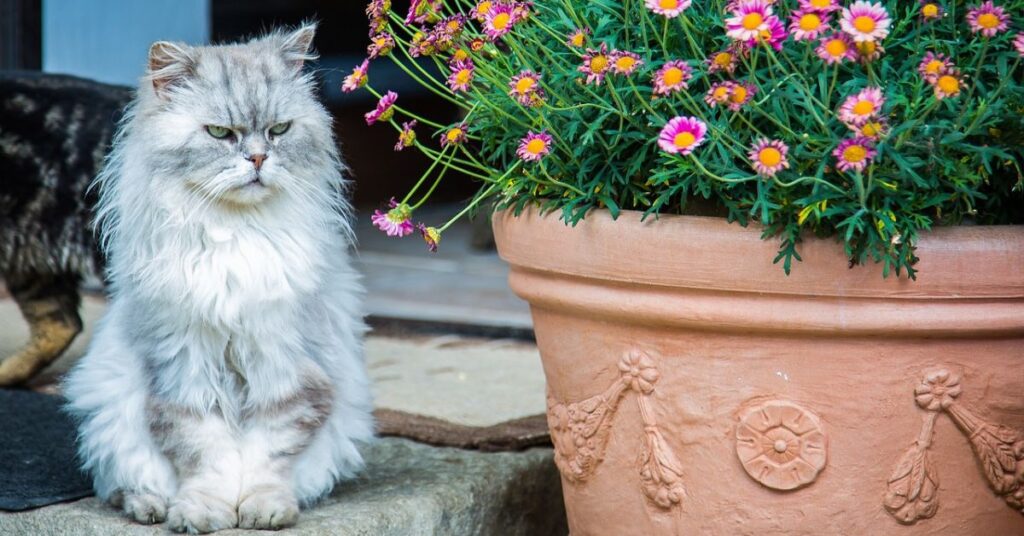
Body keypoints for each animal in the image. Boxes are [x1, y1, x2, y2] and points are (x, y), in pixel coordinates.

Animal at [61, 24, 372, 532]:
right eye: (220, 133)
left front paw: (263, 509)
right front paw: (204, 512)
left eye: (279, 130)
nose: (259, 159)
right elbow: (206, 456)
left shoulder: (284, 366)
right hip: (109, 409)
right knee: (125, 484)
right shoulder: (185, 368)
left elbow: (268, 455)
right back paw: (152, 507)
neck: (234, 235)